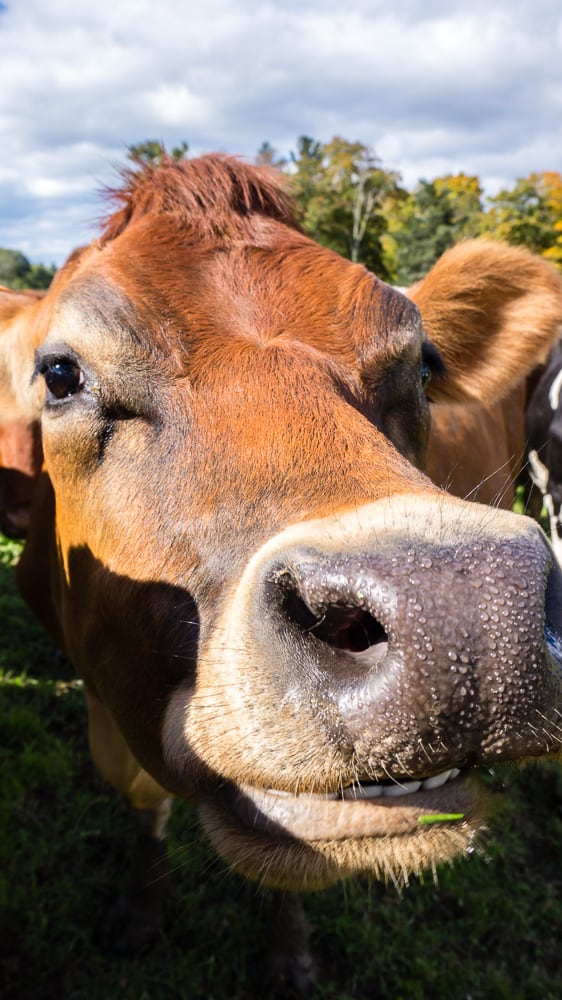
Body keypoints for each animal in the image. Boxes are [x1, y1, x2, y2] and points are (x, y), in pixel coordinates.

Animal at [2, 155, 562, 985]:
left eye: (425, 365)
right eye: (61, 373)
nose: (465, 610)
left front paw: (289, 952)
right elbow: (145, 804)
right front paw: (139, 911)